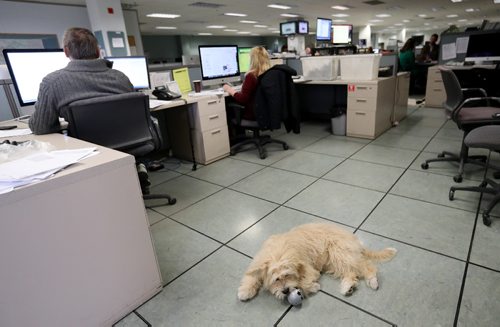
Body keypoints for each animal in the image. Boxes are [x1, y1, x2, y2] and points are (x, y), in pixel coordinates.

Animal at [236, 223, 396, 302]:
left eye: (288, 275)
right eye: (276, 279)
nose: (286, 291)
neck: (278, 254)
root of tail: (354, 239)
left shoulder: (307, 268)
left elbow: (305, 281)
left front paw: (313, 287)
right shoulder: (258, 263)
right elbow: (251, 277)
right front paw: (245, 291)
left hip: (339, 253)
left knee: (364, 266)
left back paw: (372, 280)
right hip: (334, 261)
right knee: (350, 272)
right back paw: (348, 287)